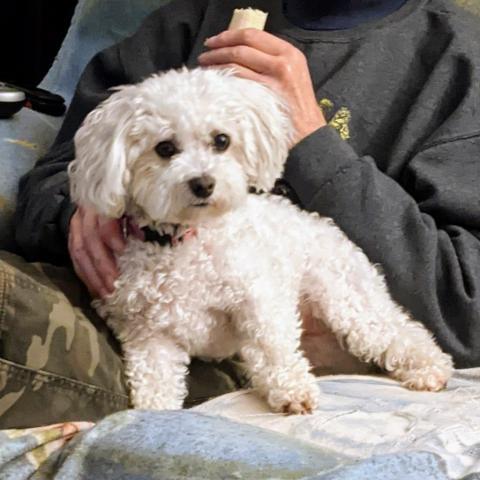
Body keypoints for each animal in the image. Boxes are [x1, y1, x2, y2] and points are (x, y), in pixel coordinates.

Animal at [69, 68, 453, 414]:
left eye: (221, 140)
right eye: (164, 148)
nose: (203, 183)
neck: (183, 242)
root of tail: (327, 225)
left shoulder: (257, 297)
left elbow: (272, 344)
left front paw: (293, 390)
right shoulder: (148, 335)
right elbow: (155, 379)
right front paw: (153, 415)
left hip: (347, 302)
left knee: (401, 332)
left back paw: (429, 369)